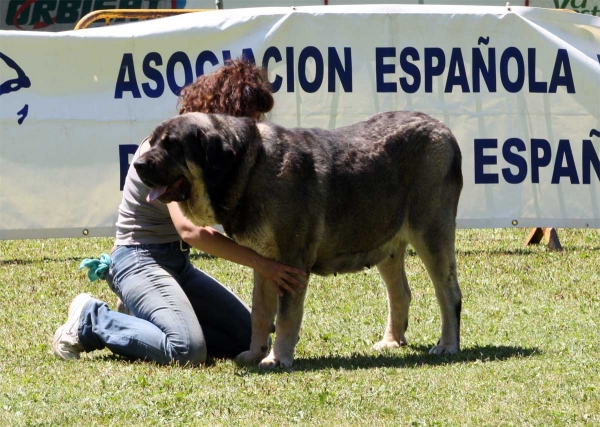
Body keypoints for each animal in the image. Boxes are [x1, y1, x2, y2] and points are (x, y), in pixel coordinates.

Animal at [135, 112, 464, 370]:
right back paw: (392, 341)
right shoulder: (264, 264)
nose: (137, 164)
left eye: (172, 145)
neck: (250, 168)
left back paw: (447, 345)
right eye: (153, 141)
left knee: (448, 293)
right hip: (387, 245)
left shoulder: (291, 262)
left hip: (431, 234)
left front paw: (277, 358)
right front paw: (255, 354)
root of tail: (444, 130)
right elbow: (260, 313)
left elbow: (286, 316)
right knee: (400, 295)